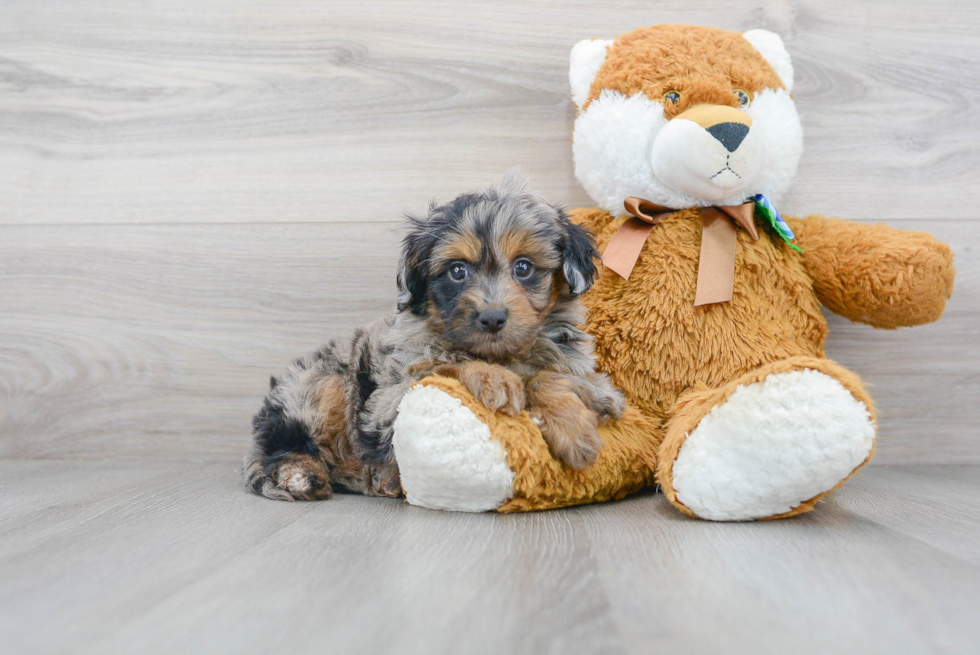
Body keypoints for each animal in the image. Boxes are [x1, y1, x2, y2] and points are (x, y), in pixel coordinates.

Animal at [247, 174, 628, 502]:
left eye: (523, 267)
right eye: (457, 271)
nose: (492, 317)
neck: (501, 354)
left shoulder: (588, 375)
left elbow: (553, 377)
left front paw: (573, 430)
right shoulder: (390, 397)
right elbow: (447, 363)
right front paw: (493, 378)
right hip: (322, 387)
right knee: (280, 448)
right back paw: (304, 475)